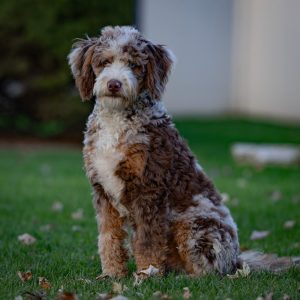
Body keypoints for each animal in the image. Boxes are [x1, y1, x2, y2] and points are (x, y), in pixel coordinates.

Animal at [68, 25, 239, 278]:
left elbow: (147, 240)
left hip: (193, 224)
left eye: (134, 65)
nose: (114, 84)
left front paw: (147, 274)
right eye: (104, 62)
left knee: (208, 271)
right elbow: (108, 236)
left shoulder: (149, 188)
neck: (117, 120)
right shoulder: (102, 190)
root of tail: (238, 260)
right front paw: (112, 274)